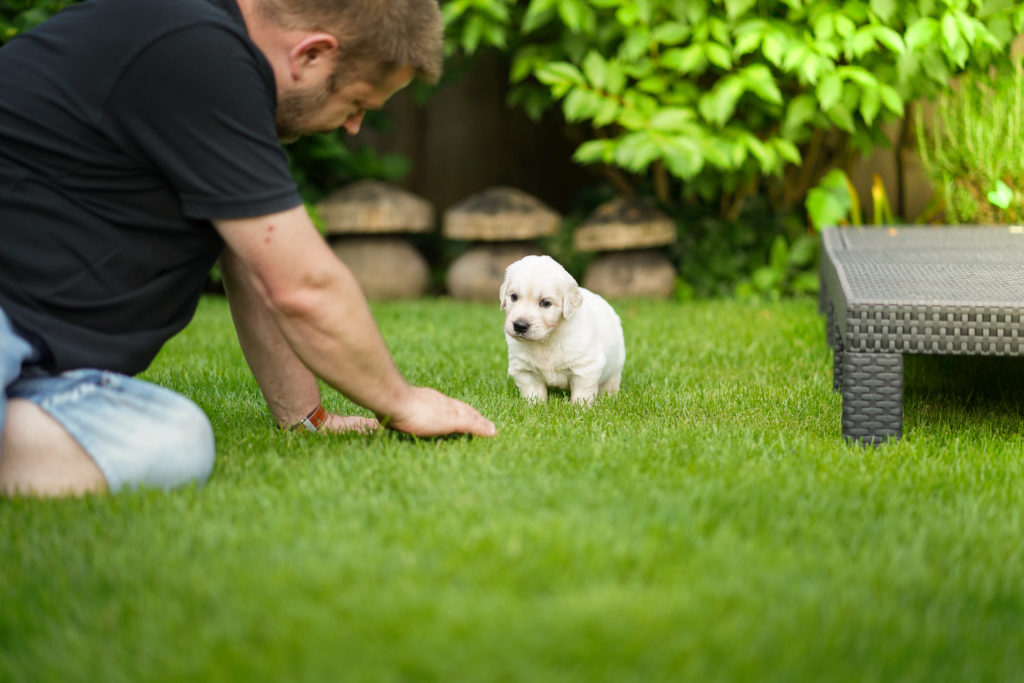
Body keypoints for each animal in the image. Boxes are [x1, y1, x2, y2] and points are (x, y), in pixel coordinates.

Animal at [497, 255, 622, 405]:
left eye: (546, 303)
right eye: (514, 296)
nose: (520, 325)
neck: (546, 340)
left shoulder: (586, 366)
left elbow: (582, 393)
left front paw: (580, 408)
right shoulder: (525, 369)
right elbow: (533, 392)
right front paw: (534, 406)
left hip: (615, 367)